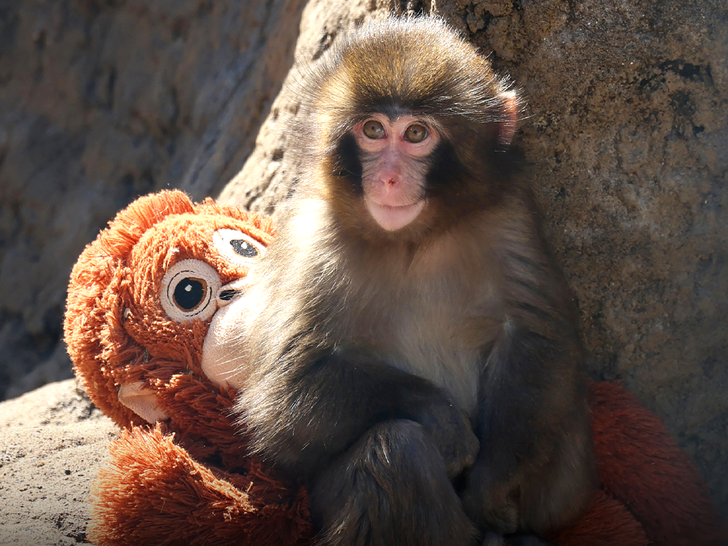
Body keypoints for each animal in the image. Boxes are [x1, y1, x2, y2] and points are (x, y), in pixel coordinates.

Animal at [228, 16, 595, 546]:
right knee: (396, 450)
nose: (389, 178)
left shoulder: (509, 215)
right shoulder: (311, 240)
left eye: (416, 133)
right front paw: (439, 415)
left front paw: (490, 486)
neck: (412, 240)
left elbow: (535, 338)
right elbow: (284, 395)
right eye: (373, 130)